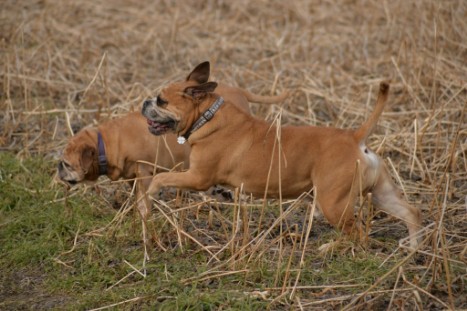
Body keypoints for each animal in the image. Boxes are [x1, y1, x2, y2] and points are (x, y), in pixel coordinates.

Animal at [143, 62, 424, 249]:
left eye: (161, 101)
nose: (145, 102)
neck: (207, 115)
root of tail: (355, 138)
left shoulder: (197, 177)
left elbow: (160, 179)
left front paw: (148, 201)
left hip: (333, 203)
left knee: (359, 233)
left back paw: (331, 248)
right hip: (380, 194)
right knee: (410, 212)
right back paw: (412, 248)